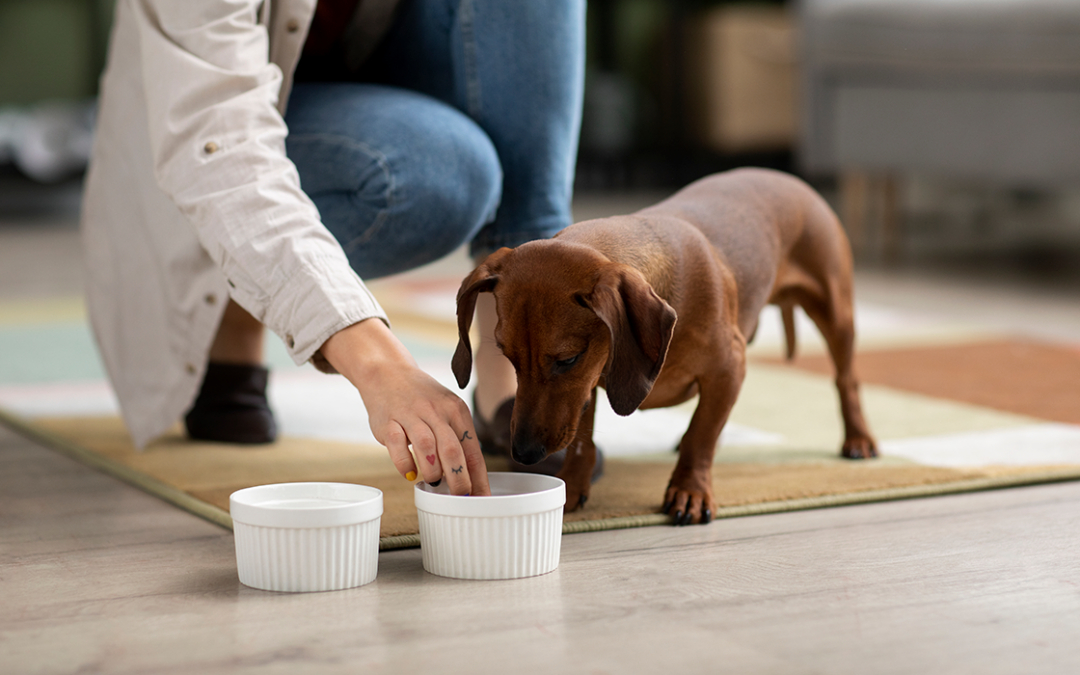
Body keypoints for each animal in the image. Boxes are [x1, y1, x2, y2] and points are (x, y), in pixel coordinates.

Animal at [451, 167, 872, 520]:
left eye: (568, 359)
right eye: (507, 356)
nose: (523, 454)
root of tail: (786, 176)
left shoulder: (729, 368)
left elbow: (700, 437)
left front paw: (691, 490)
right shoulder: (588, 388)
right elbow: (583, 439)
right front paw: (571, 484)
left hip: (835, 312)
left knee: (846, 379)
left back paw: (859, 438)